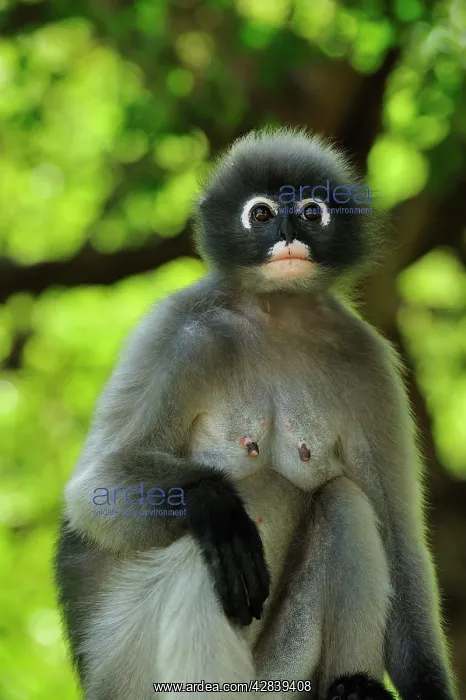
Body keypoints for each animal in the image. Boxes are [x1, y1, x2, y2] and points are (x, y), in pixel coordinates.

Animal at [54, 127, 458, 700]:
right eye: (262, 213)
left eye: (311, 212)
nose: (288, 233)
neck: (277, 313)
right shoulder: (177, 332)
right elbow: (93, 491)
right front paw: (215, 504)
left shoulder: (369, 364)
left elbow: (400, 539)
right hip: (133, 665)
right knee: (206, 546)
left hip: (279, 674)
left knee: (344, 502)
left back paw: (352, 686)